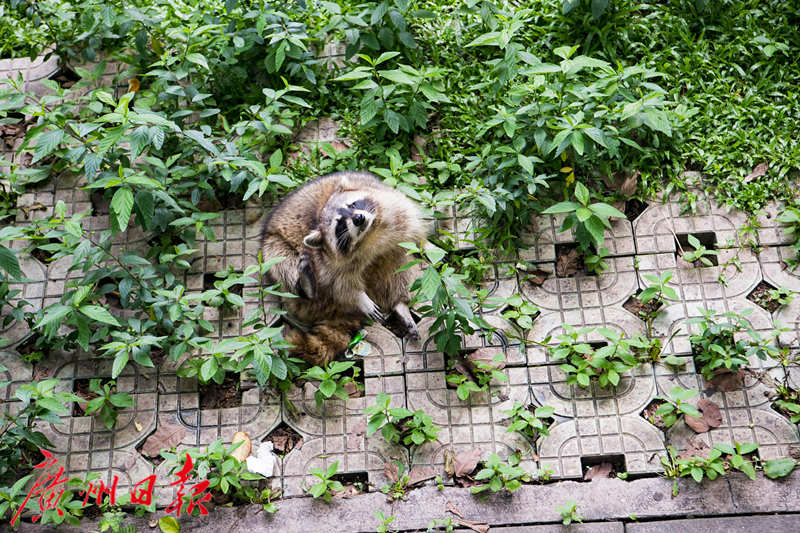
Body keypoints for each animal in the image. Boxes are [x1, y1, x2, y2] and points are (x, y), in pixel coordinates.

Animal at [260, 170, 424, 366]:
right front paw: (359, 297)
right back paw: (306, 286)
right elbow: (341, 284)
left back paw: (400, 303)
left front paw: (427, 245)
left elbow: (412, 233)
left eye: (352, 204)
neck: (368, 236)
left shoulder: (393, 206)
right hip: (273, 248)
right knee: (281, 262)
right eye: (339, 223)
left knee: (399, 265)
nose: (359, 218)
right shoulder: (326, 261)